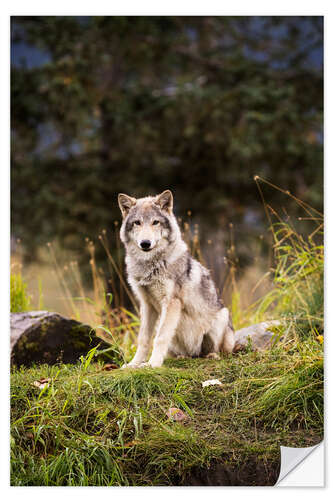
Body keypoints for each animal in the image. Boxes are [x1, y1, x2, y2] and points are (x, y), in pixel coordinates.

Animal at [118, 189, 235, 370]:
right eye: (137, 223)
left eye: (155, 222)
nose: (145, 243)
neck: (151, 265)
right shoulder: (146, 305)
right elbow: (143, 339)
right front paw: (134, 364)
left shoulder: (171, 302)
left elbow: (160, 338)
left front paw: (153, 364)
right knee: (187, 354)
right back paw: (182, 357)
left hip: (221, 317)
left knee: (218, 352)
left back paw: (212, 355)